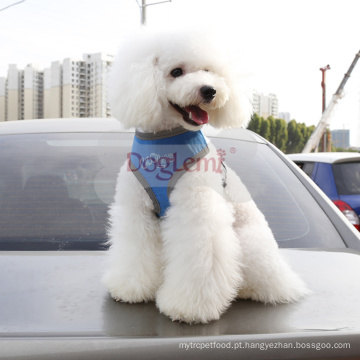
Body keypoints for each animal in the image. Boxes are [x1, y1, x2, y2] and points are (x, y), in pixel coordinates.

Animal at [102, 28, 308, 324]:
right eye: (176, 71)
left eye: (209, 72)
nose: (210, 90)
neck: (165, 141)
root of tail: (288, 281)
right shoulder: (137, 211)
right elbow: (135, 249)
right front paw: (130, 287)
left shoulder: (197, 211)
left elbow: (199, 258)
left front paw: (188, 307)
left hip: (248, 244)